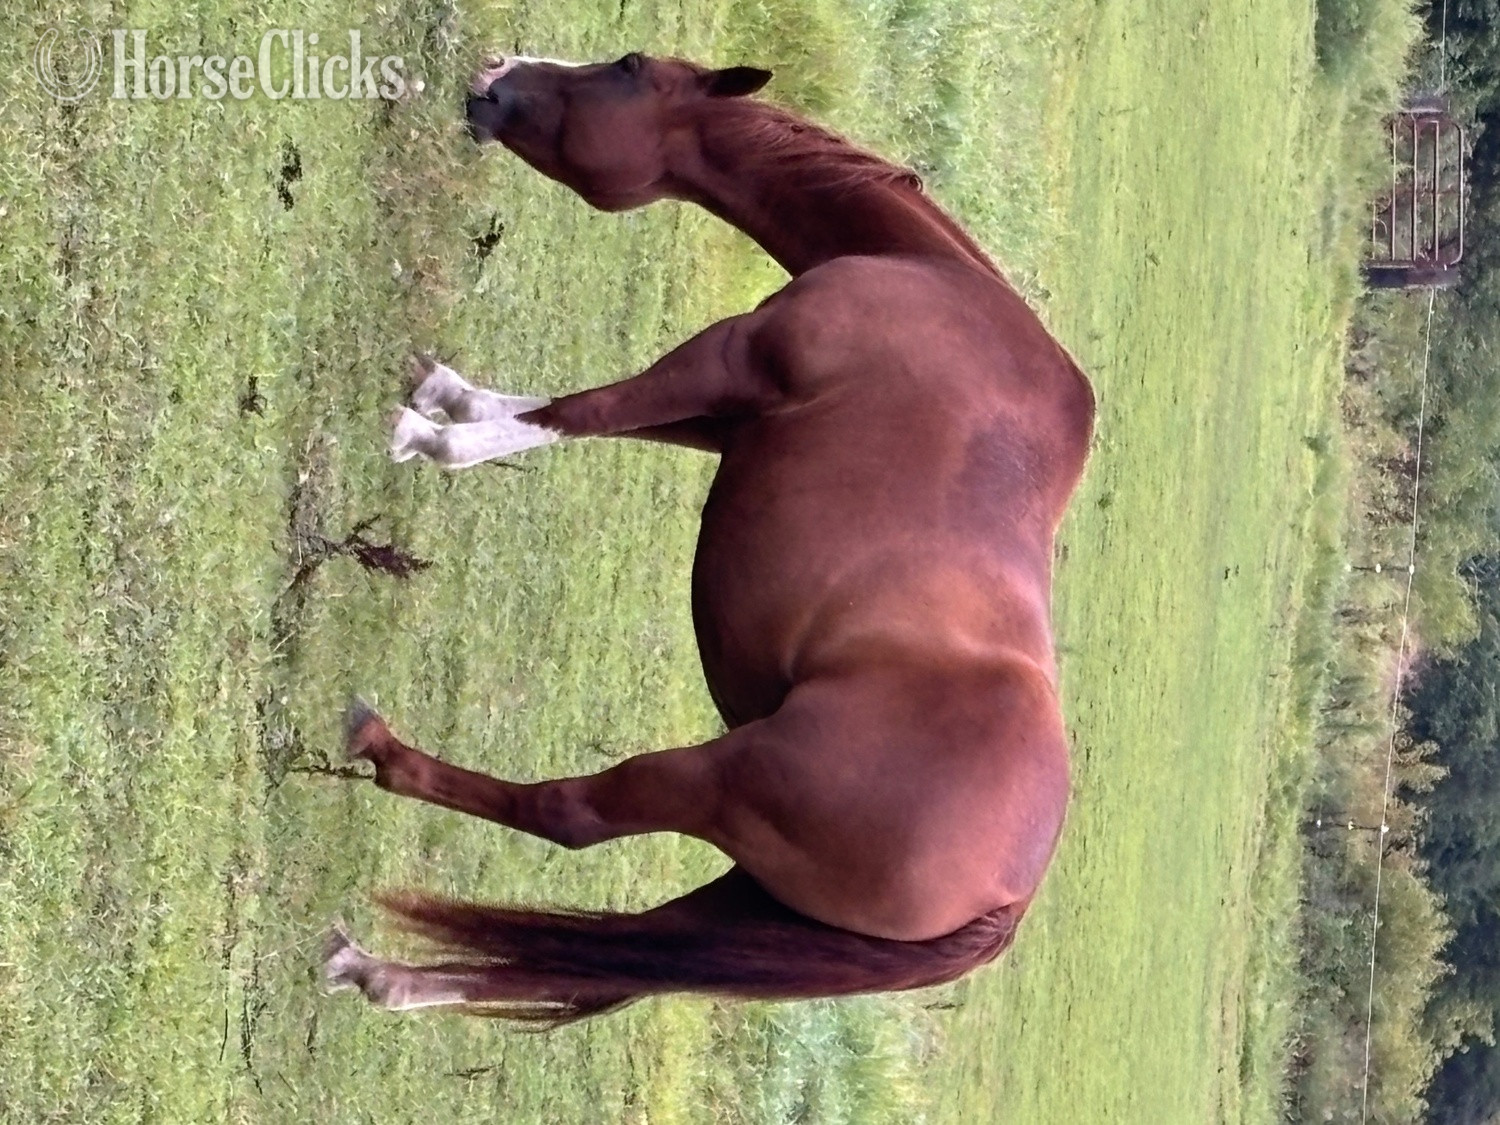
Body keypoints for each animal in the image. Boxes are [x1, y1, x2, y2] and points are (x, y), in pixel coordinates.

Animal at [323, 52, 1095, 1026]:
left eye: (625, 69)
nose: (497, 74)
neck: (926, 279)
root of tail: (1004, 906)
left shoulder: (726, 358)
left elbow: (578, 413)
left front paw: (431, 433)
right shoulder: (718, 421)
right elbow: (565, 412)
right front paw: (449, 395)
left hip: (715, 783)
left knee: (571, 815)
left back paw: (384, 755)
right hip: (751, 894)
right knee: (592, 963)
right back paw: (377, 971)